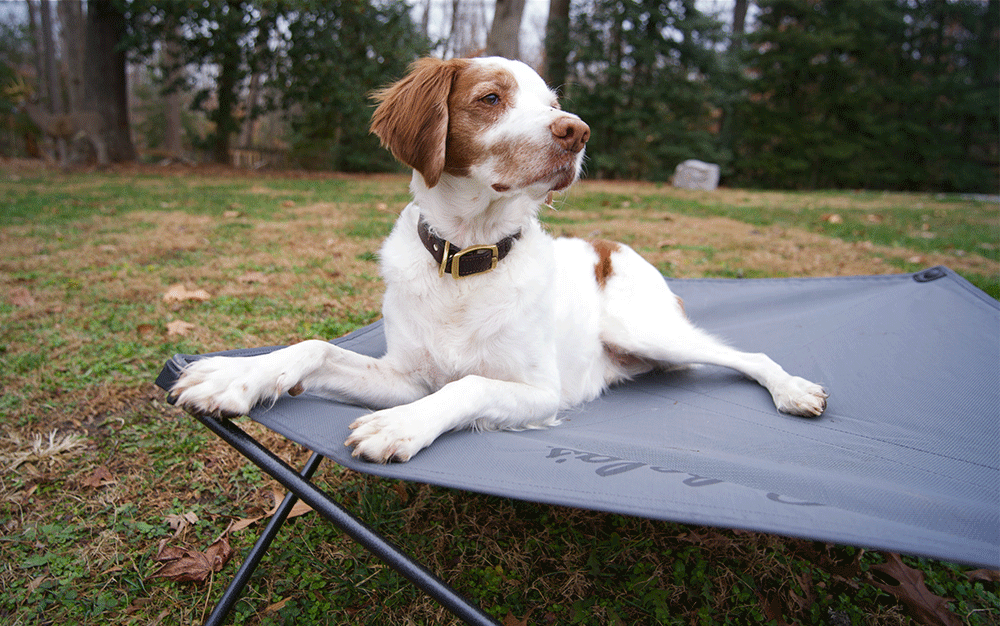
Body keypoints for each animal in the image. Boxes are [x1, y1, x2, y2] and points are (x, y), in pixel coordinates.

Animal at [172, 56, 828, 460]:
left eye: (553, 103)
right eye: (490, 98)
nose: (578, 131)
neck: (467, 256)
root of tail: (611, 246)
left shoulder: (540, 391)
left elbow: (467, 387)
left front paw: (400, 427)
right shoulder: (405, 377)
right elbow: (312, 347)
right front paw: (233, 376)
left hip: (645, 329)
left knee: (746, 356)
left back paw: (793, 390)